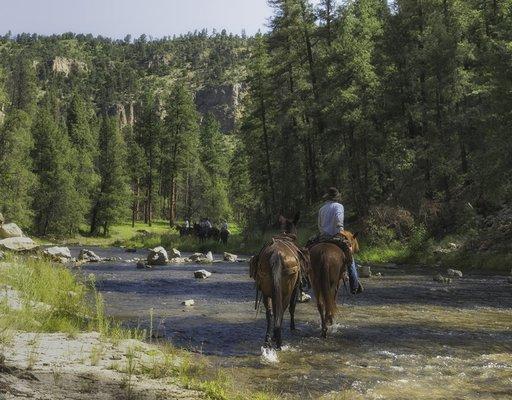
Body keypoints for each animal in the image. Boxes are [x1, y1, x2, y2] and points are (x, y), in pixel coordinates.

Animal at [249, 214, 308, 348]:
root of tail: (276, 254)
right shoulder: (295, 290)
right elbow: (292, 308)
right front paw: (292, 327)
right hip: (286, 293)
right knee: (282, 310)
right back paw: (279, 340)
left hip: (267, 293)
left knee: (270, 312)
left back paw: (268, 339)